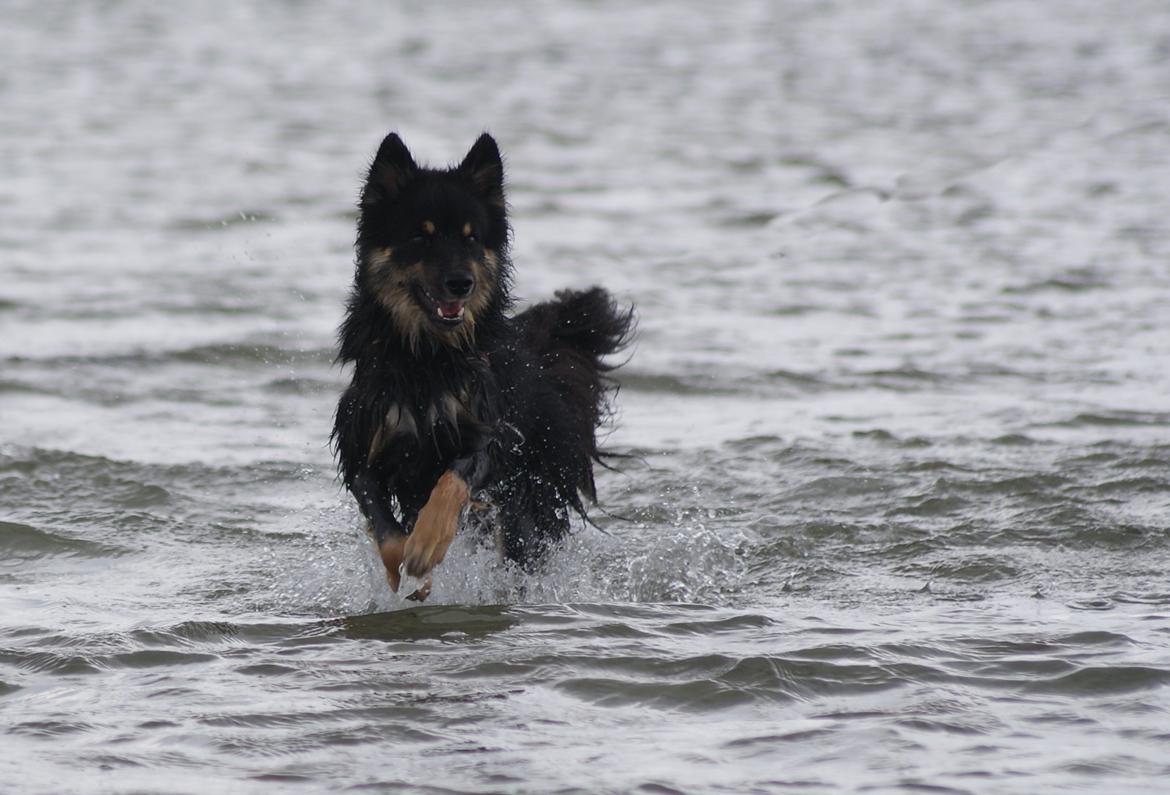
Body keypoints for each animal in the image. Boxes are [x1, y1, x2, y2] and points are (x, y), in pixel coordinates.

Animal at [332, 132, 631, 604]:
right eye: (421, 237)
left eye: (471, 239)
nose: (462, 284)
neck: (428, 358)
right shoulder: (363, 447)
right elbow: (384, 526)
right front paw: (410, 570)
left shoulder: (491, 432)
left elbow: (453, 480)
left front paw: (426, 545)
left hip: (529, 504)